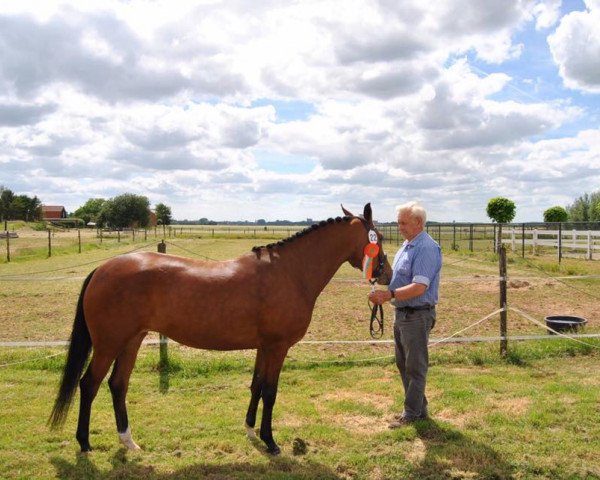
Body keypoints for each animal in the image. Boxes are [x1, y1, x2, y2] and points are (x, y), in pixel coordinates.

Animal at [49, 202, 392, 454]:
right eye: (376, 236)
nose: (387, 274)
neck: (290, 272)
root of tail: (102, 269)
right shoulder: (277, 346)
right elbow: (270, 391)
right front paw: (270, 442)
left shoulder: (264, 347)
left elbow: (256, 386)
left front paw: (251, 431)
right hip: (108, 344)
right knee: (88, 385)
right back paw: (85, 443)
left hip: (131, 341)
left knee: (118, 385)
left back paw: (129, 441)